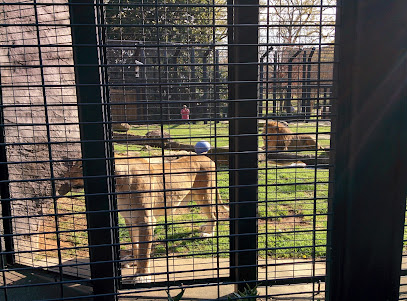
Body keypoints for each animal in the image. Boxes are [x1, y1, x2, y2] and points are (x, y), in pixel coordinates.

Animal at [57, 154, 228, 282]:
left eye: (81, 167)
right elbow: (135, 244)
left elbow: (145, 251)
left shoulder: (147, 221)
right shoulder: (129, 219)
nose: (65, 178)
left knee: (214, 214)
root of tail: (208, 158)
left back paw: (208, 233)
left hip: (204, 194)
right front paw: (132, 259)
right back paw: (205, 227)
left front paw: (141, 275)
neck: (118, 186)